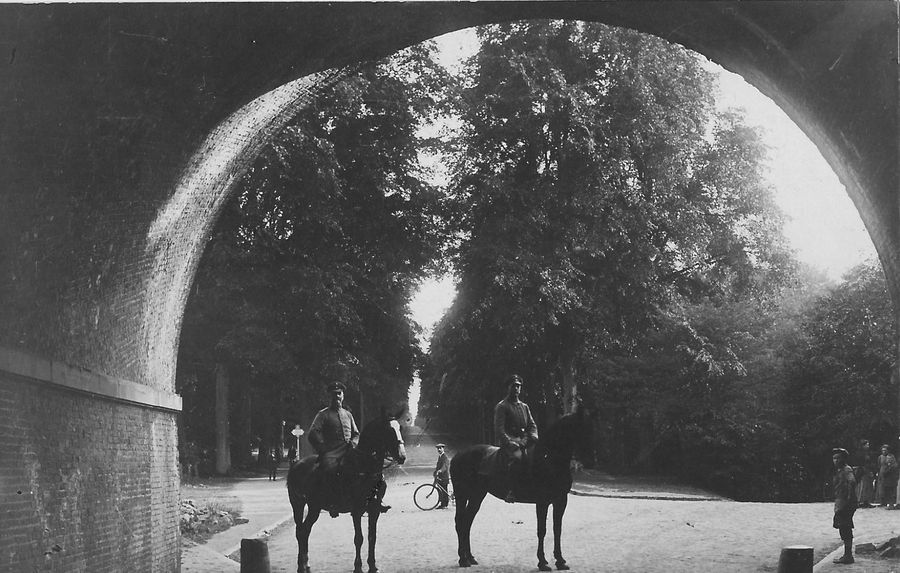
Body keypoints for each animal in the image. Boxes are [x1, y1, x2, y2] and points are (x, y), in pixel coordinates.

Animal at [286, 412, 406, 572]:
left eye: (400, 428)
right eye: (388, 430)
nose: (402, 456)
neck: (365, 467)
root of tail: (295, 464)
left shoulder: (374, 510)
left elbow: (372, 538)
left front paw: (373, 565)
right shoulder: (356, 510)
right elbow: (359, 538)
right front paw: (358, 566)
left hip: (313, 508)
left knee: (305, 531)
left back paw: (306, 564)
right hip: (299, 505)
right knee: (300, 532)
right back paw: (301, 565)